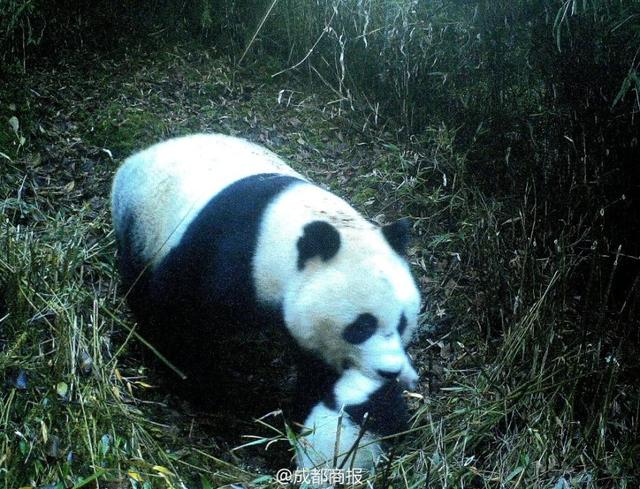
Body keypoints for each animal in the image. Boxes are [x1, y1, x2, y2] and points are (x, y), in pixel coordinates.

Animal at [112, 133, 422, 466]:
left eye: (402, 323)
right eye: (362, 326)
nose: (389, 371)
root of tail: (140, 155)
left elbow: (321, 378)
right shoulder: (225, 259)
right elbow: (177, 316)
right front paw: (201, 388)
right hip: (143, 226)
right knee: (137, 280)